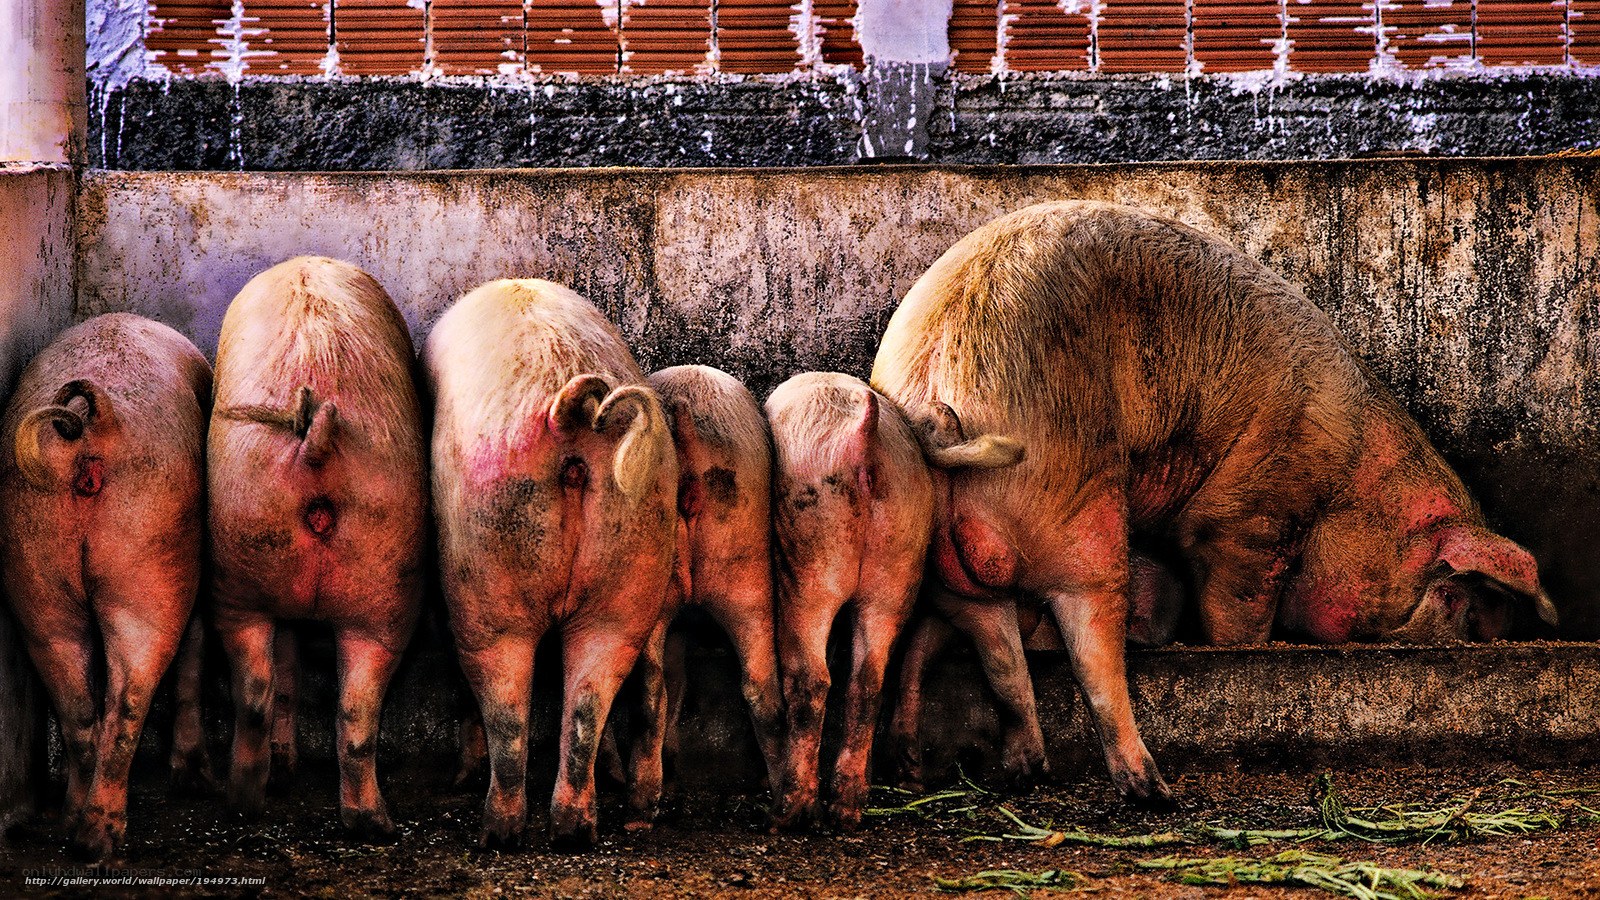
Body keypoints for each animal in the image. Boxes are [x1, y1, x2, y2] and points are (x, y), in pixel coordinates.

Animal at [0, 313, 211, 859]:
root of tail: (97, 421)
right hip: (153, 550)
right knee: (132, 693)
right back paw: (103, 838)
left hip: (32, 562)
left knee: (75, 698)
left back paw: (77, 828)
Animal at [208, 257, 426, 837]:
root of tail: (315, 447)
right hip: (378, 571)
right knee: (343, 709)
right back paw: (367, 821)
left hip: (241, 561)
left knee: (263, 690)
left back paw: (255, 802)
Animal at [424, 278, 678, 848]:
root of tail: (570, 414)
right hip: (631, 565)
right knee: (593, 696)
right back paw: (576, 829)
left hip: (486, 567)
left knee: (504, 700)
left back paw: (496, 832)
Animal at [765, 372, 1018, 831]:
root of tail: (862, 439)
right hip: (899, 555)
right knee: (867, 681)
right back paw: (847, 809)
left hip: (811, 549)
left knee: (812, 678)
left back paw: (788, 814)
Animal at [871, 200, 1556, 802]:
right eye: (1453, 596)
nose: (1468, 642)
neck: (1348, 481)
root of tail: (938, 388)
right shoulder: (1250, 518)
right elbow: (1237, 607)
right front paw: (1246, 654)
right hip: (1077, 504)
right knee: (1090, 645)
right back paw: (1152, 791)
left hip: (961, 562)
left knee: (985, 648)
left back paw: (966, 767)